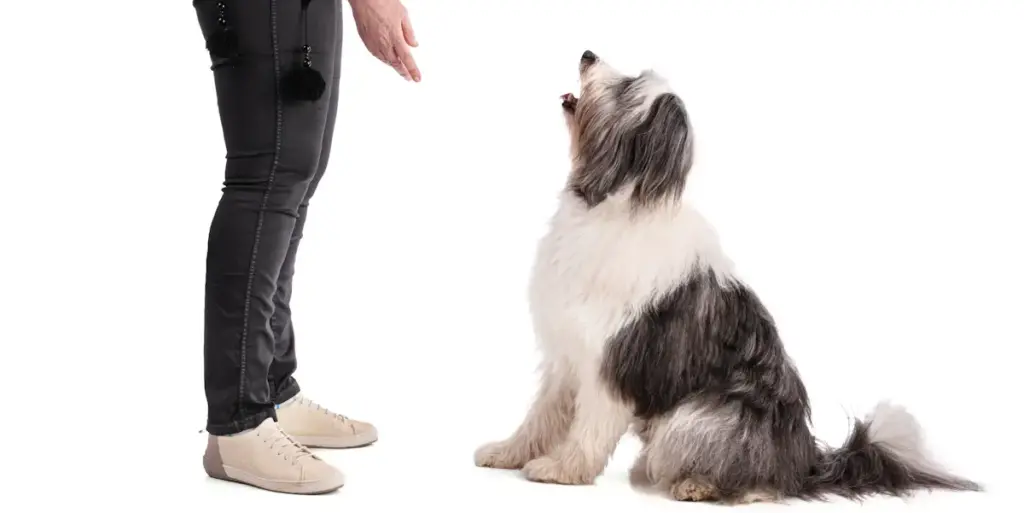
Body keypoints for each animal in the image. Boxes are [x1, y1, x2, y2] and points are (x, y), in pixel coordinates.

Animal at [473, 49, 983, 501]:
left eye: (627, 87)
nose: (587, 54)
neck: (613, 202)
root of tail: (806, 460)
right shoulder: (566, 354)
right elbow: (541, 415)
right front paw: (508, 453)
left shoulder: (614, 359)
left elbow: (590, 427)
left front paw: (562, 470)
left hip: (708, 415)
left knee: (763, 482)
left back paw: (700, 485)